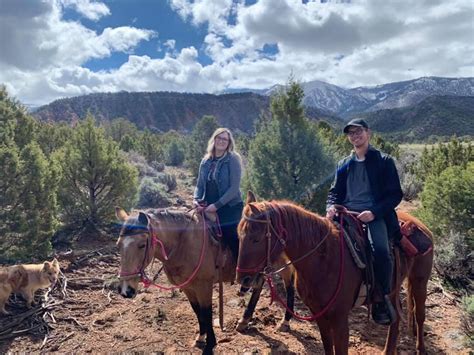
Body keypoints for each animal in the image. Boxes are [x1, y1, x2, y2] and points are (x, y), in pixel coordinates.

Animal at [237, 193, 434, 354]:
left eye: (256, 239)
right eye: (239, 235)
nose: (243, 279)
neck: (323, 258)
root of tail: (420, 225)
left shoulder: (340, 319)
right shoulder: (319, 314)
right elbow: (327, 347)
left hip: (419, 281)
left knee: (419, 315)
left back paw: (421, 349)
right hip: (393, 289)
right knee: (396, 318)